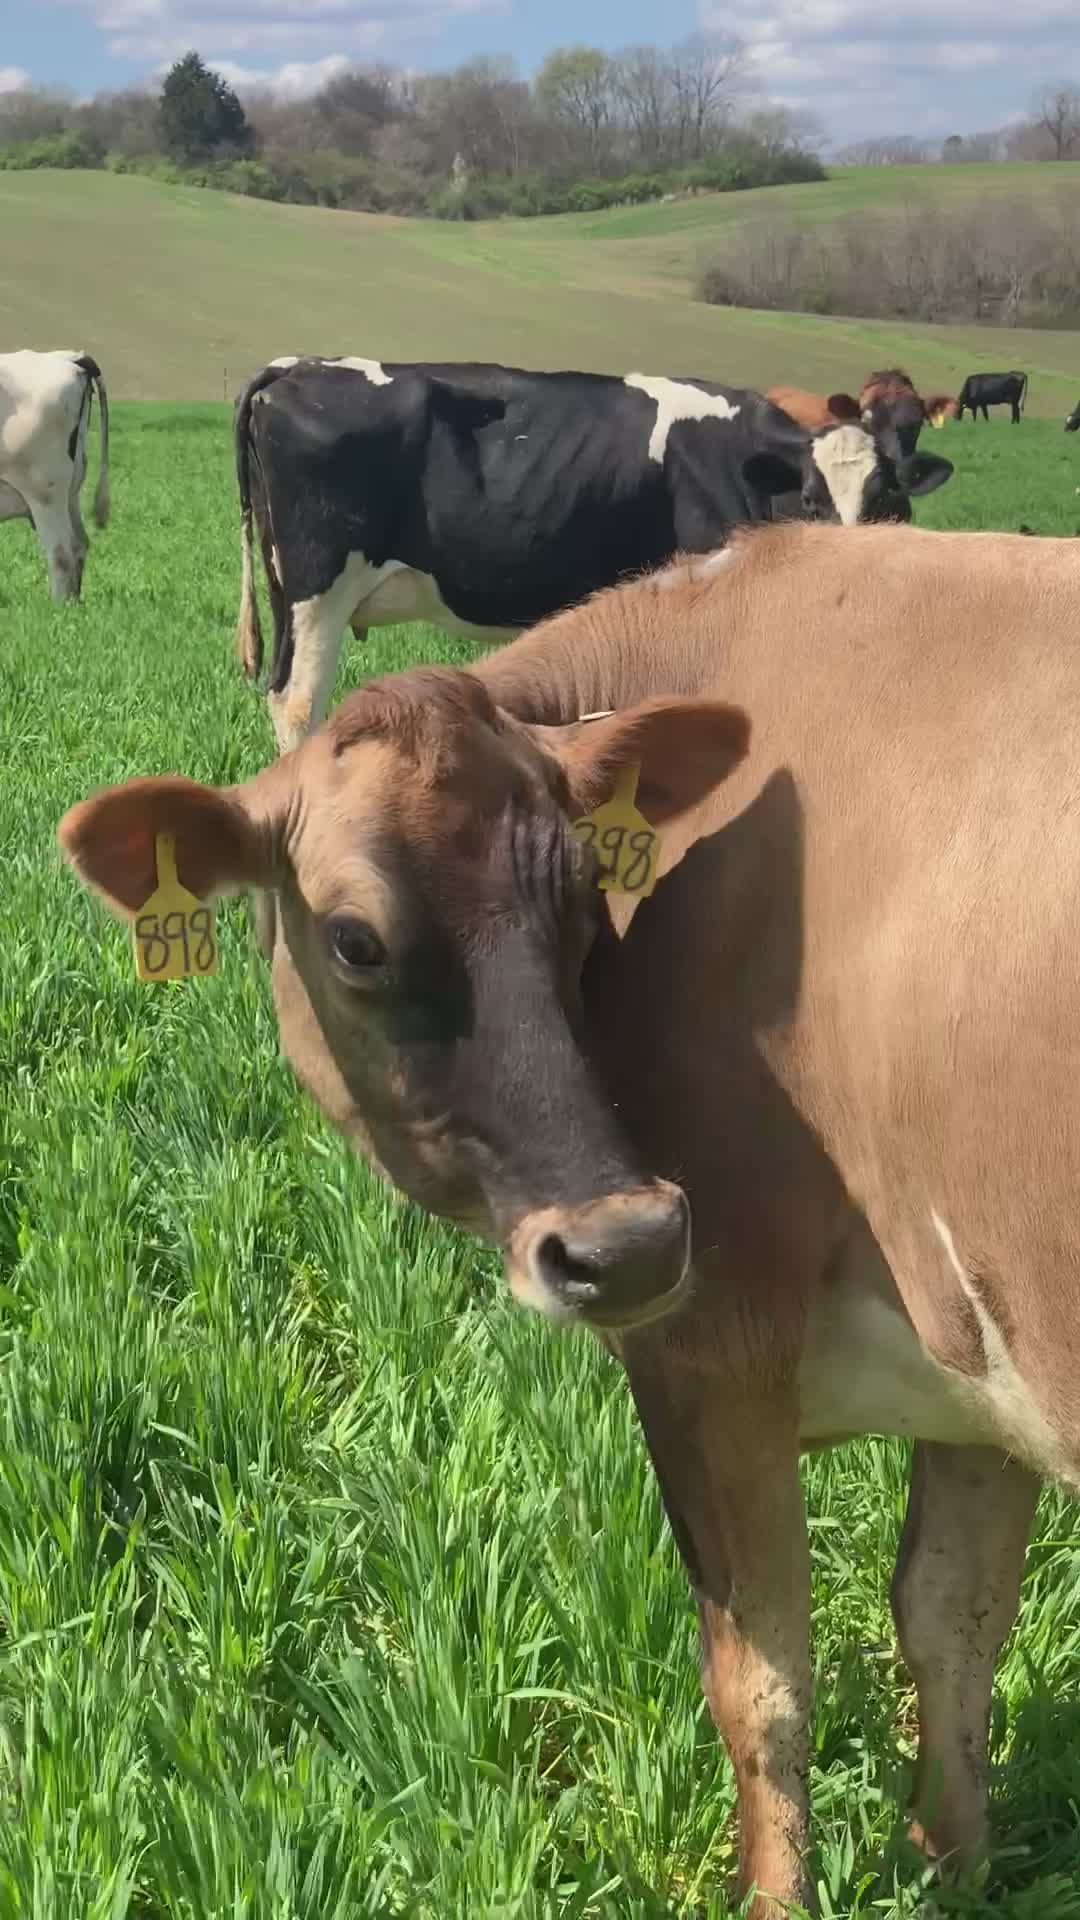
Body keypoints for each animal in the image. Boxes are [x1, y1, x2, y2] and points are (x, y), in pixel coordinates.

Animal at [60, 516, 1080, 1916]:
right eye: (355, 942)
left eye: (584, 895)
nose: (631, 1241)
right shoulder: (972, 1371)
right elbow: (954, 1622)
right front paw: (957, 1868)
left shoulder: (713, 1348)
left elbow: (765, 1686)